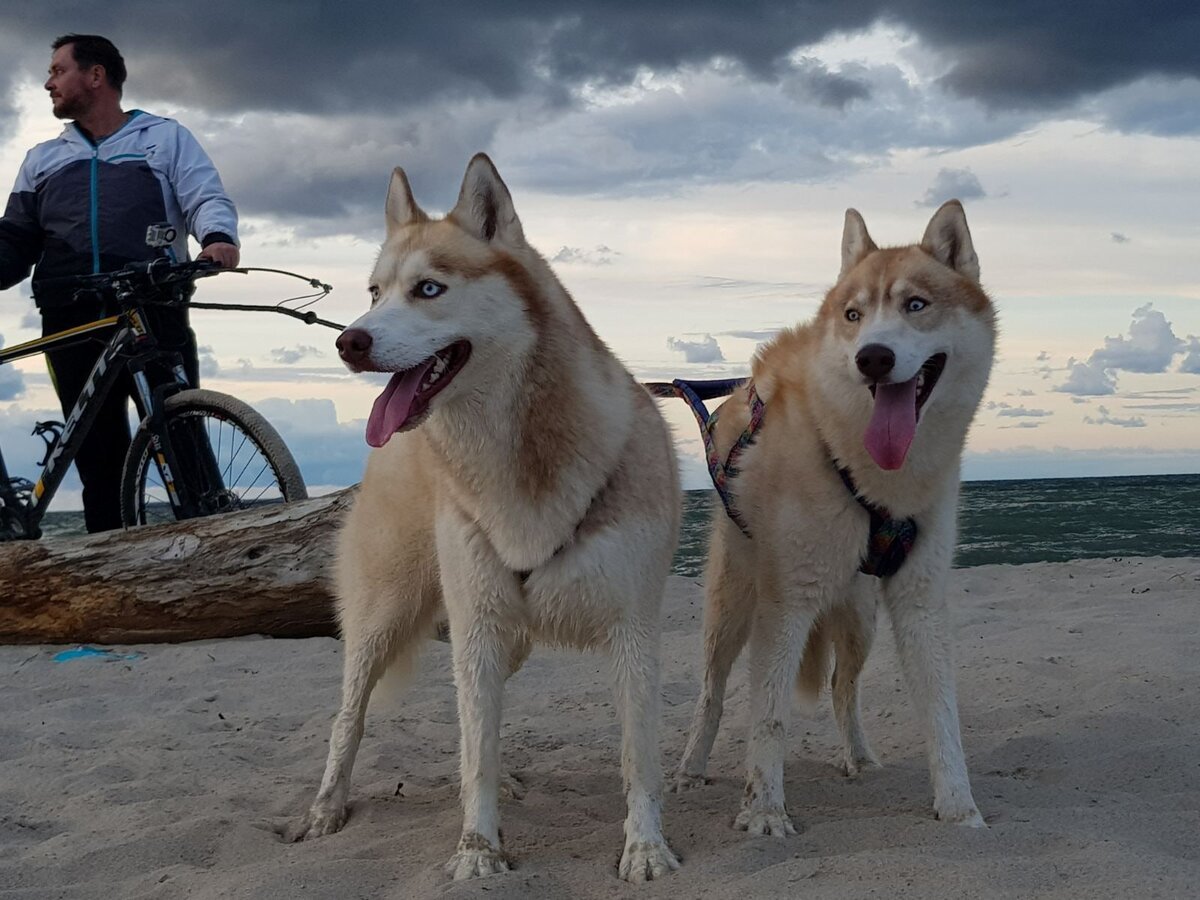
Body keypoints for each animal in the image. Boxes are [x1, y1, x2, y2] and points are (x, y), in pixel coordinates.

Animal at [290, 157, 681, 888]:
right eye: (374, 291)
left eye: (428, 289)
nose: (349, 340)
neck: (515, 462)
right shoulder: (477, 633)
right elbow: (476, 755)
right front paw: (478, 848)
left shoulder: (633, 632)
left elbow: (638, 755)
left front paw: (644, 846)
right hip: (384, 619)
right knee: (348, 718)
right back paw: (327, 807)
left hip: (509, 638)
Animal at [676, 200, 993, 835]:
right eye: (853, 314)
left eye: (916, 304)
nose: (872, 357)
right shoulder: (786, 601)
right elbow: (769, 716)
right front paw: (764, 813)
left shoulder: (920, 598)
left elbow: (942, 714)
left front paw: (958, 806)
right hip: (733, 602)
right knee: (712, 691)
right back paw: (692, 765)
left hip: (860, 617)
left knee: (844, 688)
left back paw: (860, 757)